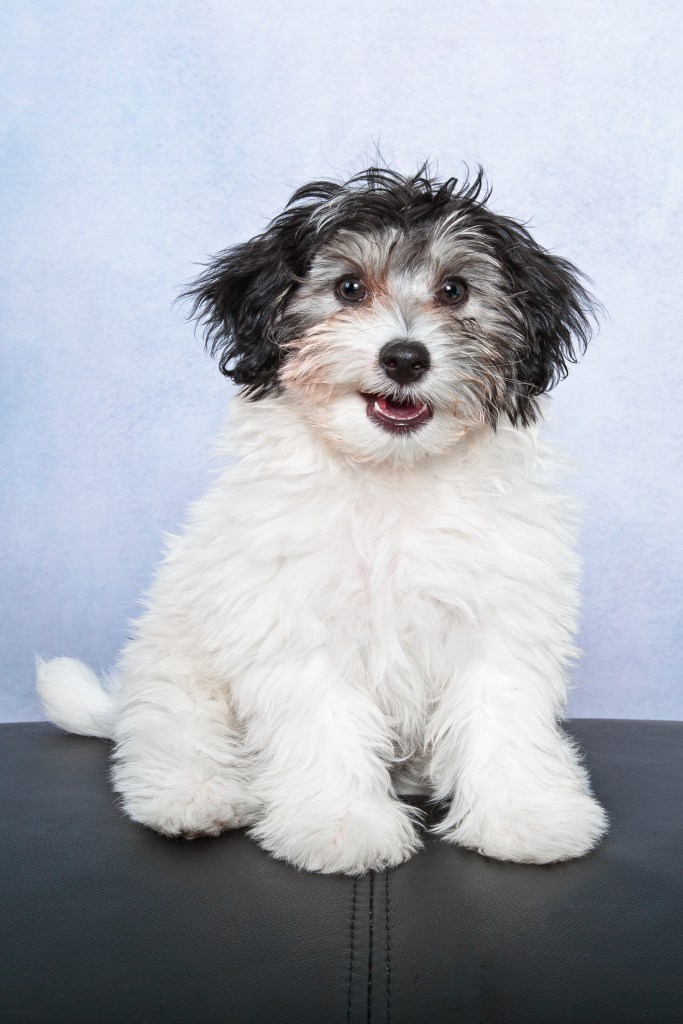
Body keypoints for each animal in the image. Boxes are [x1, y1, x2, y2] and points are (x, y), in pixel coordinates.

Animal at [36, 167, 610, 872]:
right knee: (169, 733)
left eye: (454, 290)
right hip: (177, 663)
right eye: (349, 288)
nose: (405, 358)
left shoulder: (501, 616)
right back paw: (193, 798)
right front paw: (340, 825)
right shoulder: (295, 623)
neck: (391, 475)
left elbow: (502, 717)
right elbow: (325, 725)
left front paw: (526, 816)